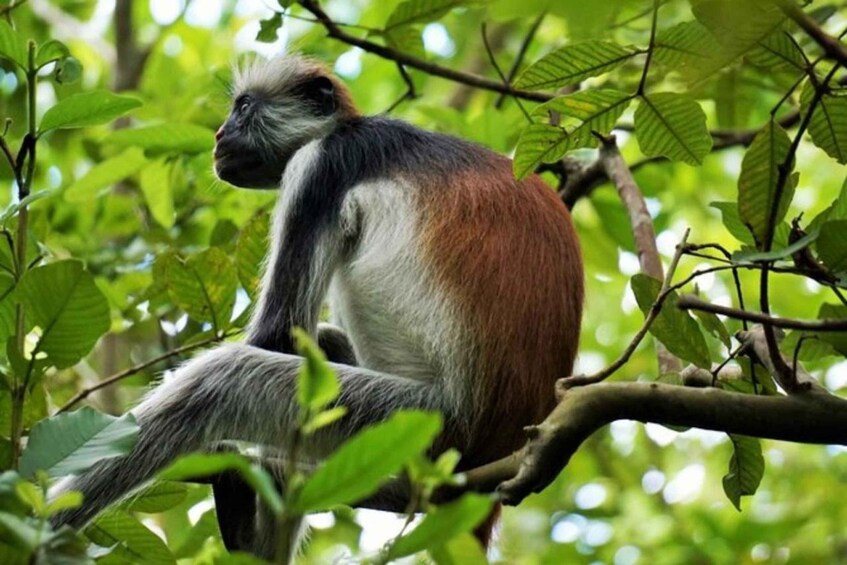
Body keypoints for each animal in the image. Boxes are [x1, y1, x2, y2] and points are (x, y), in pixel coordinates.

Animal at [50, 55, 584, 559]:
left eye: (244, 107)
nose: (221, 134)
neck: (346, 127)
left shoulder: (321, 166)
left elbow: (277, 334)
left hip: (422, 425)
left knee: (219, 383)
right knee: (320, 345)